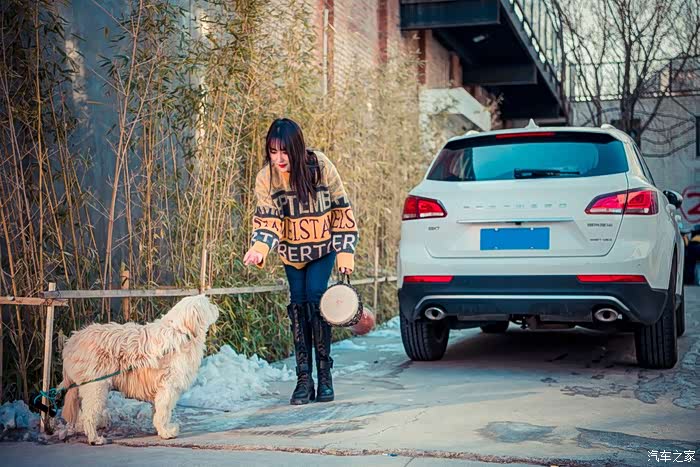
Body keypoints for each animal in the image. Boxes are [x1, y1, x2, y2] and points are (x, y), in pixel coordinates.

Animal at [60, 294, 220, 445]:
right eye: (208, 304)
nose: (217, 307)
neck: (181, 331)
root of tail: (72, 341)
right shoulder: (168, 387)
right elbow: (164, 412)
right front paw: (167, 432)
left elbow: (158, 412)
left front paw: (160, 429)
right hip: (96, 386)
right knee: (89, 415)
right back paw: (95, 438)